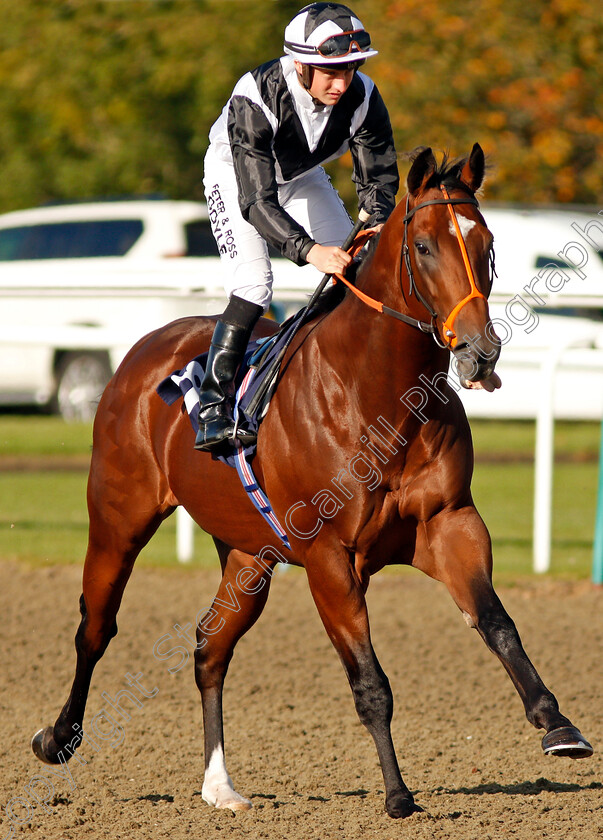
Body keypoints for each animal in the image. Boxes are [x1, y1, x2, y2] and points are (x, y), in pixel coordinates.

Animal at [30, 146, 592, 820]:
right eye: (424, 246)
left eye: (485, 242)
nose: (482, 350)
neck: (379, 396)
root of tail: (141, 351)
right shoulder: (329, 557)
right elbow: (371, 682)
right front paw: (398, 794)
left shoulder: (449, 523)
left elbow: (497, 622)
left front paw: (557, 724)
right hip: (118, 519)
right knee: (95, 628)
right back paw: (59, 738)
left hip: (249, 554)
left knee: (209, 647)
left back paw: (219, 784)